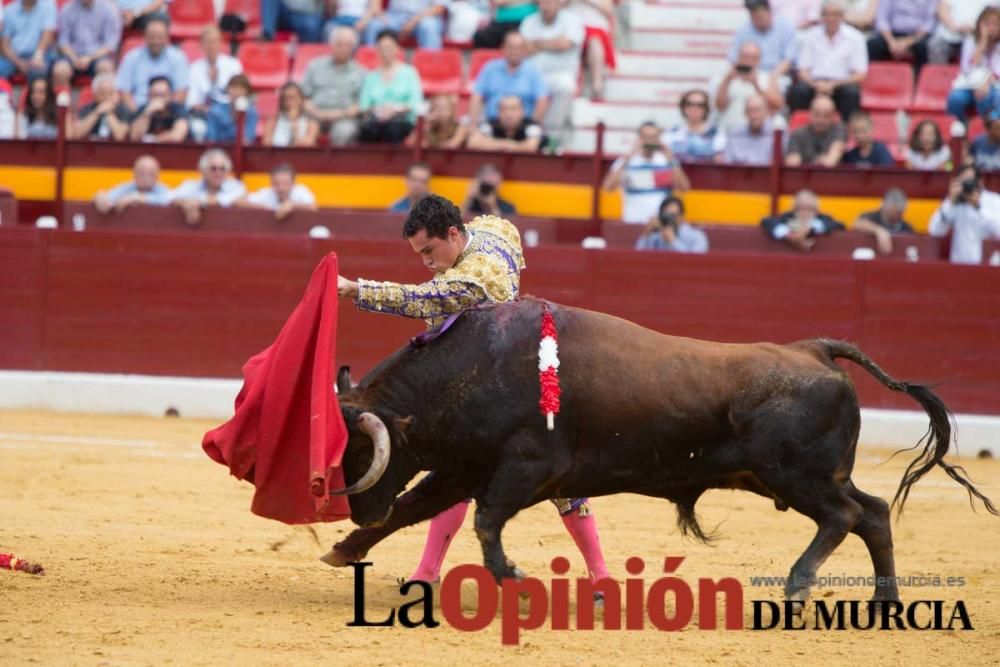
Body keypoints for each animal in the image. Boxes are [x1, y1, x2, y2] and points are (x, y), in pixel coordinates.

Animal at [324, 300, 996, 604]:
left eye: (359, 453)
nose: (354, 508)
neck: (477, 365)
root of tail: (812, 349)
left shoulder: (527, 467)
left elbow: (486, 520)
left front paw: (511, 574)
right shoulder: (466, 467)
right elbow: (417, 509)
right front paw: (346, 549)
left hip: (796, 476)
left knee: (845, 515)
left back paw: (798, 583)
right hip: (806, 475)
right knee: (874, 512)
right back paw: (884, 599)